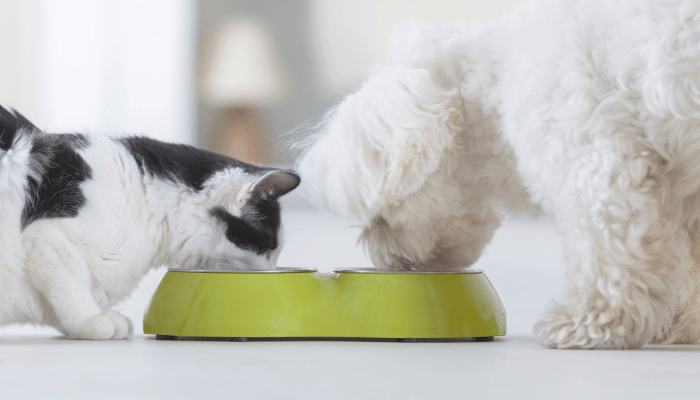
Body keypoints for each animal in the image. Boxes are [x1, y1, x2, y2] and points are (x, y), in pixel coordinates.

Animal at [298, 0, 700, 348]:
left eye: (380, 217)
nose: (385, 262)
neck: (495, 81)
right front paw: (684, 326)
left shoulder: (595, 167)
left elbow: (608, 256)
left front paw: (586, 323)